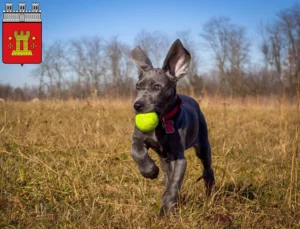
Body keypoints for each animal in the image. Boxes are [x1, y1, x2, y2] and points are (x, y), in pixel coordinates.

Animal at [130, 38, 214, 216]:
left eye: (157, 87)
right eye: (138, 87)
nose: (137, 105)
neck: (161, 122)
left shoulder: (179, 158)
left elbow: (174, 184)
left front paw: (166, 210)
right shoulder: (138, 138)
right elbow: (137, 153)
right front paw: (150, 171)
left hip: (203, 146)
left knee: (207, 169)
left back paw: (209, 193)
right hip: (165, 158)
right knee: (167, 174)